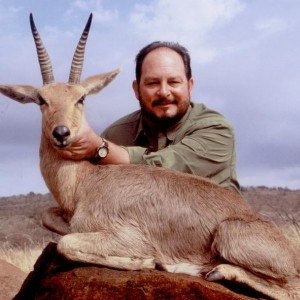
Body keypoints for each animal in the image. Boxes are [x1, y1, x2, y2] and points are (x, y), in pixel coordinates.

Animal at [0, 12, 300, 298]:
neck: (85, 182)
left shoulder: (126, 236)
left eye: (81, 98)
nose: (61, 133)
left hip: (229, 237)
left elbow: (66, 243)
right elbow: (51, 220)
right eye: (41, 99)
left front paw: (146, 262)